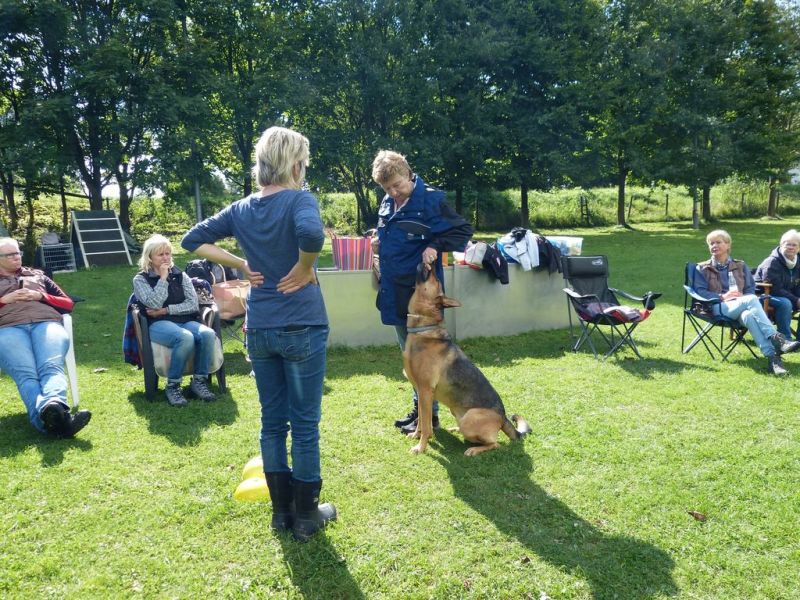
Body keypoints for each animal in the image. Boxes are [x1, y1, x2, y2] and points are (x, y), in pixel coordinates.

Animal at [403, 262, 531, 456]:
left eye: (437, 279)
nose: (429, 262)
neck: (423, 329)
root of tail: (503, 417)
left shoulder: (425, 391)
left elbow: (426, 425)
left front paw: (421, 447)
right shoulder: (420, 391)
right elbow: (422, 421)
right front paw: (417, 437)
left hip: (469, 420)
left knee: (495, 444)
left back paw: (473, 449)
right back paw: (455, 429)